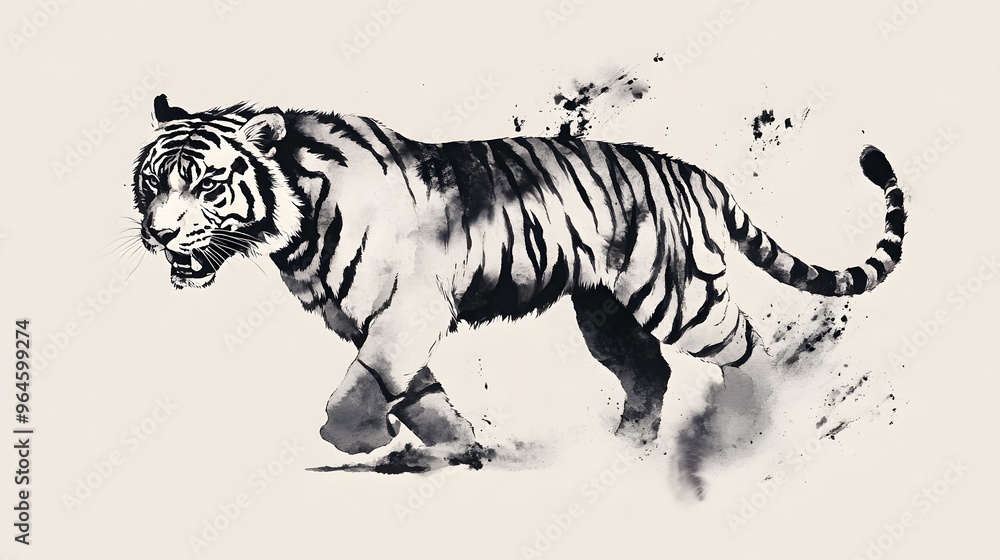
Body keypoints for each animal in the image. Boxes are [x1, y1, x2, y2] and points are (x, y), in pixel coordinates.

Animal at [131, 94, 904, 469]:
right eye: (151, 183)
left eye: (205, 184)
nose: (160, 236)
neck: (296, 227)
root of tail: (695, 173)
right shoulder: (373, 325)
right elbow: (417, 395)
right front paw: (462, 446)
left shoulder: (406, 313)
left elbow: (353, 391)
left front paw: (357, 440)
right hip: (604, 312)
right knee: (648, 373)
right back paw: (625, 450)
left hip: (676, 294)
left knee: (745, 348)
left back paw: (750, 430)